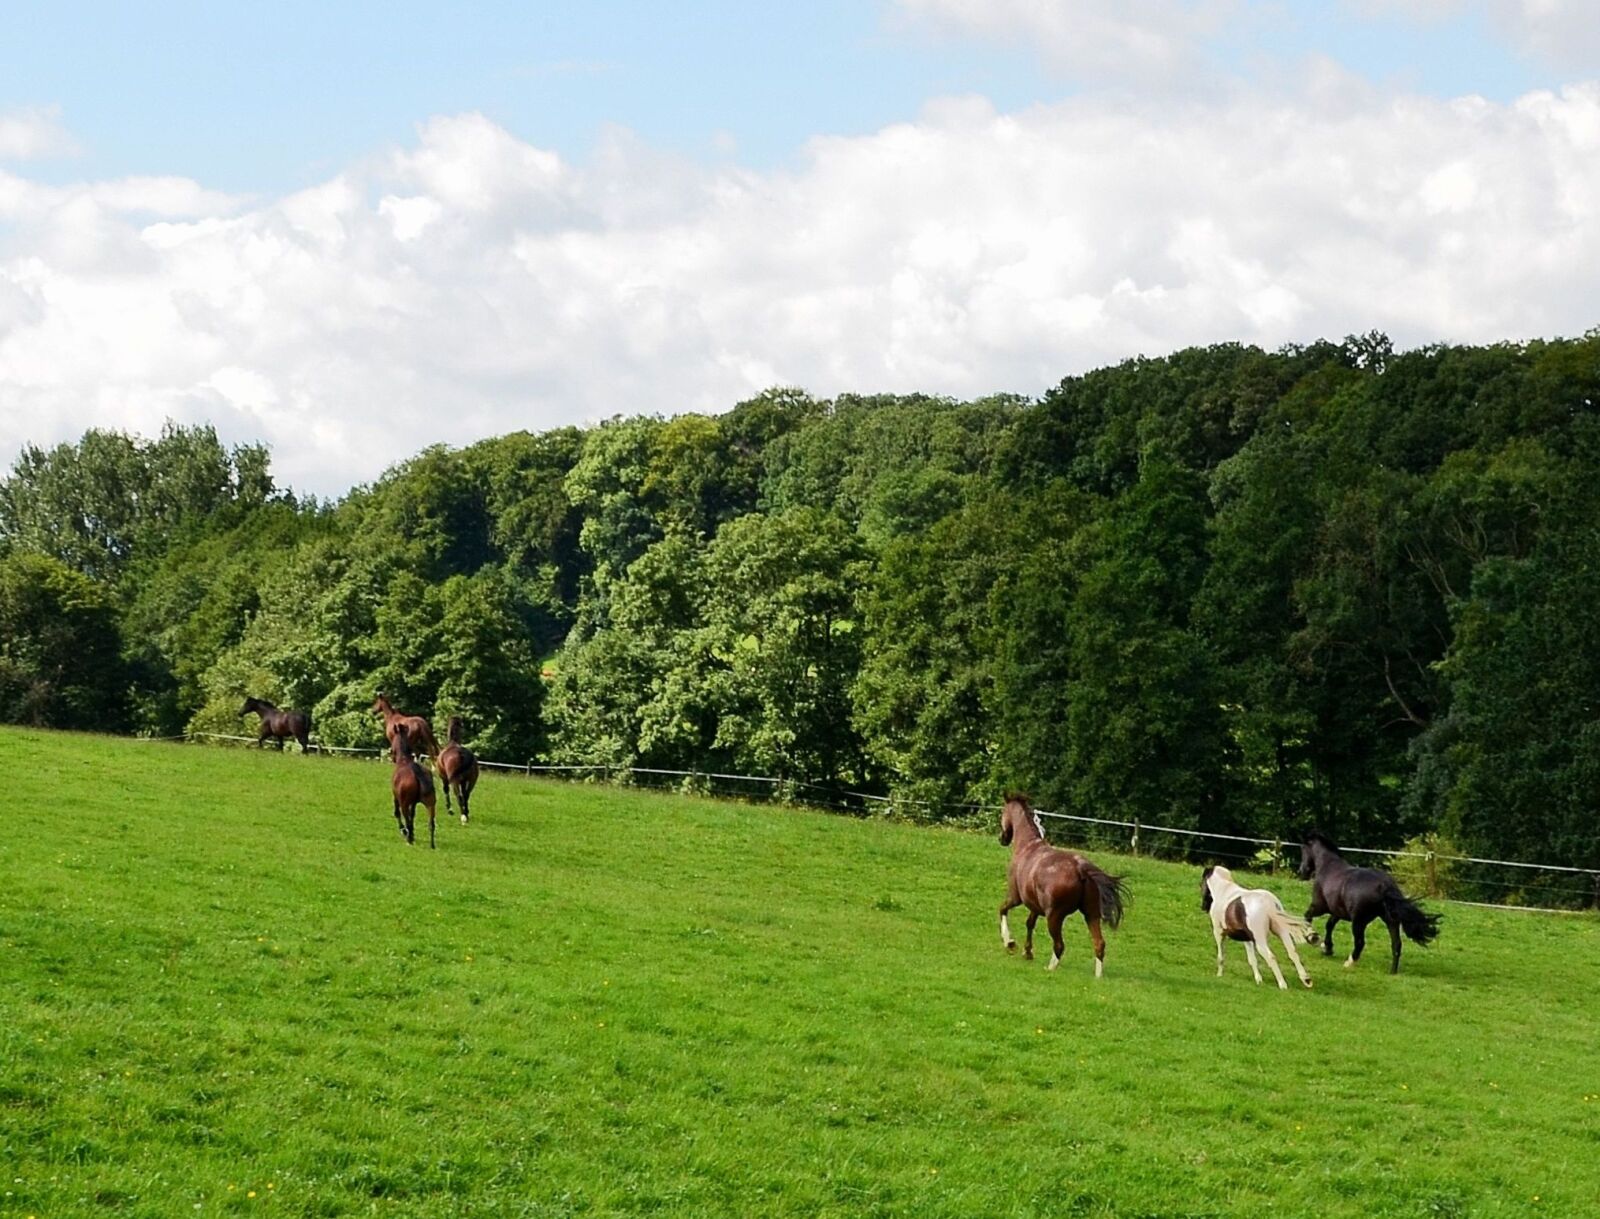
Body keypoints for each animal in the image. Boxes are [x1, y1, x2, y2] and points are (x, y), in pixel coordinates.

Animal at [997, 794, 1128, 978]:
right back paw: (1098, 977)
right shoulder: (1035, 906)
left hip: (1054, 917)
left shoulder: (1016, 898)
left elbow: (1002, 910)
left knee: (1059, 945)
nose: (1002, 838)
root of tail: (1081, 870)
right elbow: (1029, 923)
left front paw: (1009, 943)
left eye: (1002, 812)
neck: (1028, 846)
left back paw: (1050, 969)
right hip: (1091, 915)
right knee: (1099, 944)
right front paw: (1027, 952)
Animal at [1298, 831, 1441, 973]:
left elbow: (1308, 916)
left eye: (1303, 848)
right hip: (1391, 920)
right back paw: (1392, 972)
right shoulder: (1338, 912)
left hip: (1359, 921)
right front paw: (1327, 948)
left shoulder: (1320, 906)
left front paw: (1310, 937)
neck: (1327, 866)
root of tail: (1384, 886)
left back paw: (1349, 962)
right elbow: (1329, 925)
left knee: (1360, 942)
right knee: (1396, 944)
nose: (1301, 872)